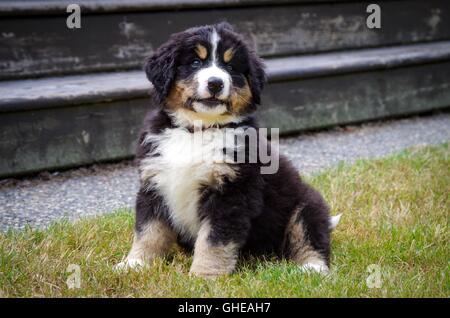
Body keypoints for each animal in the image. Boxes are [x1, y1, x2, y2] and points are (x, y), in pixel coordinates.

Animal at [116, 22, 342, 278]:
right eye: (196, 62)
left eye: (231, 66)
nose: (215, 83)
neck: (198, 129)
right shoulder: (153, 185)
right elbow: (148, 231)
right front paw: (135, 264)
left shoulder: (231, 193)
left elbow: (214, 240)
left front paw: (203, 276)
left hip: (307, 205)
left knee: (309, 237)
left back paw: (311, 268)